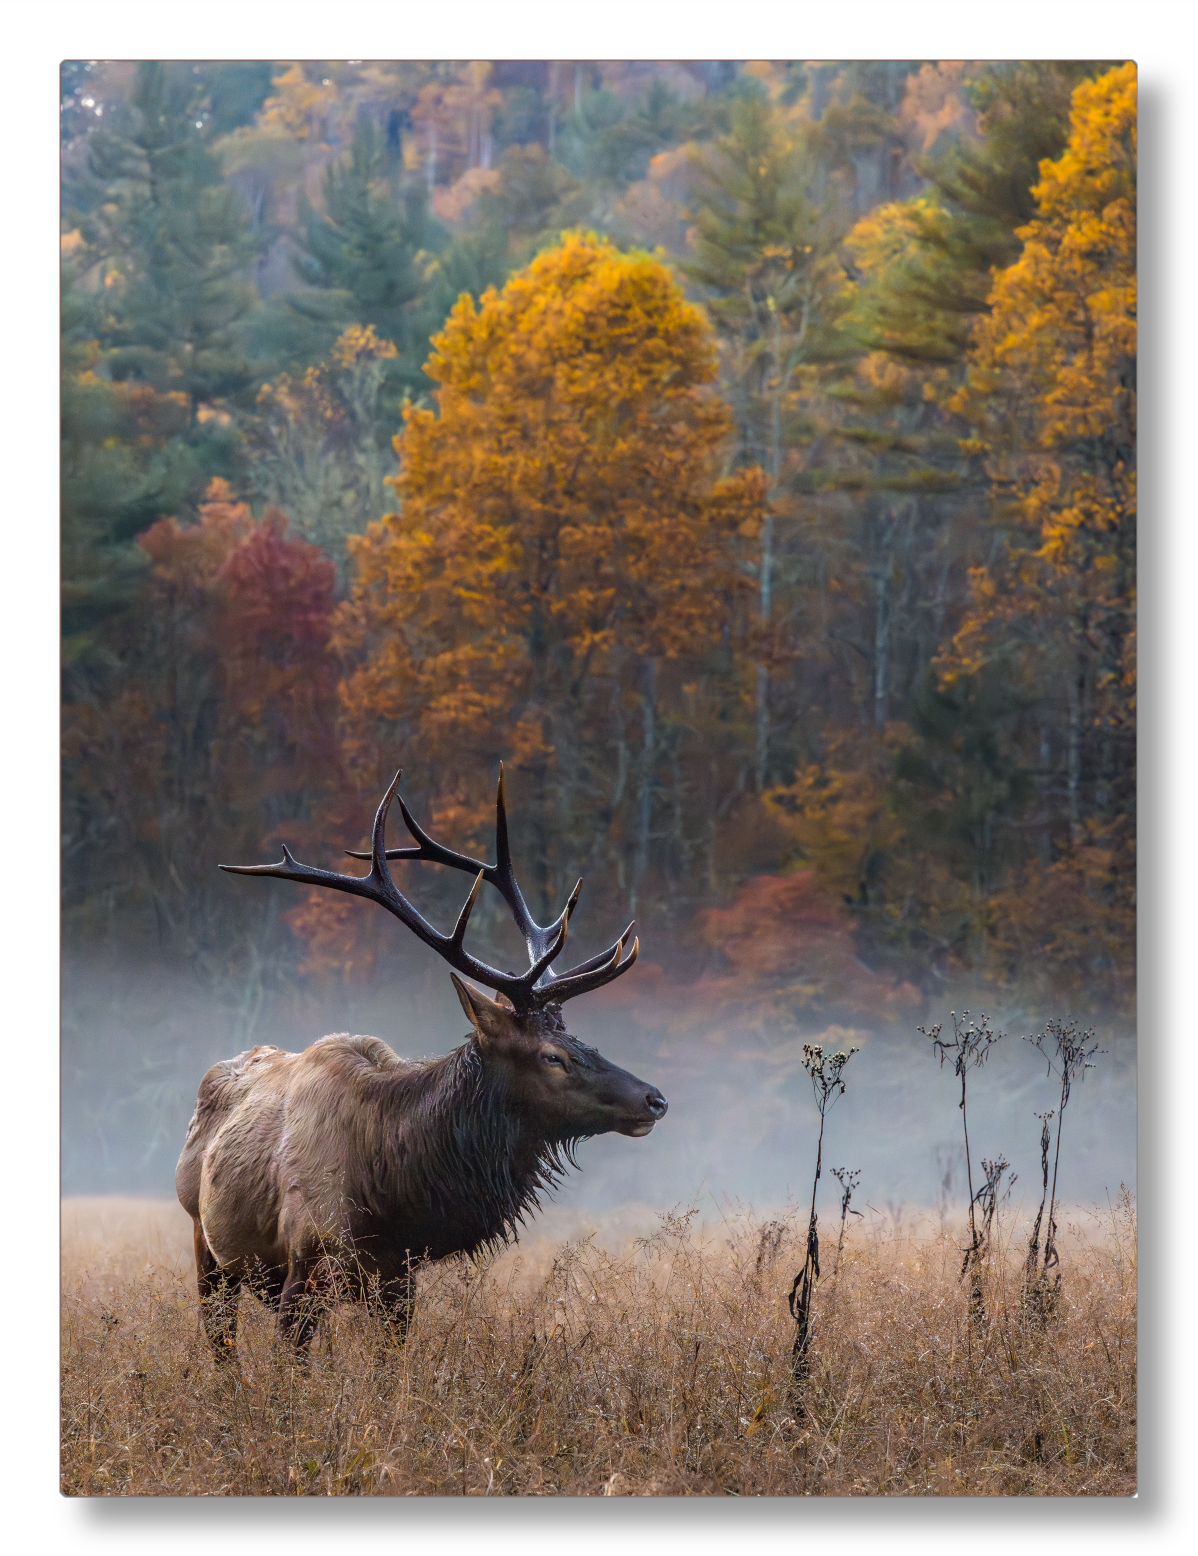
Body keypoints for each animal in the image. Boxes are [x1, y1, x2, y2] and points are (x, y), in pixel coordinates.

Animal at [175, 771, 662, 1356]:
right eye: (553, 1056)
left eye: (579, 1039)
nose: (654, 1099)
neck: (391, 1194)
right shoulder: (306, 1266)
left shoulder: (398, 1281)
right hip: (207, 1246)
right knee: (220, 1343)